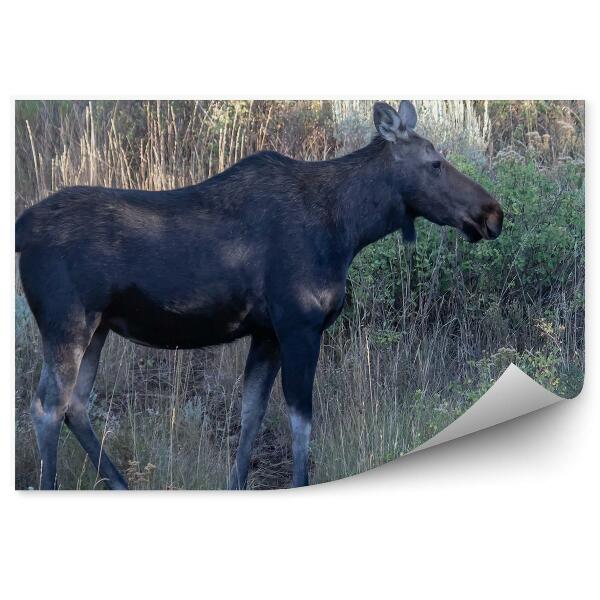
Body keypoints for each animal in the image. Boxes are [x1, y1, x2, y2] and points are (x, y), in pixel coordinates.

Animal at [15, 101, 502, 490]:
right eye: (435, 162)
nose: (493, 213)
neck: (348, 230)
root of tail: (21, 228)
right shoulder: (299, 324)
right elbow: (300, 421)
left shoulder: (266, 332)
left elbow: (251, 415)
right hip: (67, 322)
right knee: (46, 406)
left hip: (98, 327)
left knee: (75, 404)